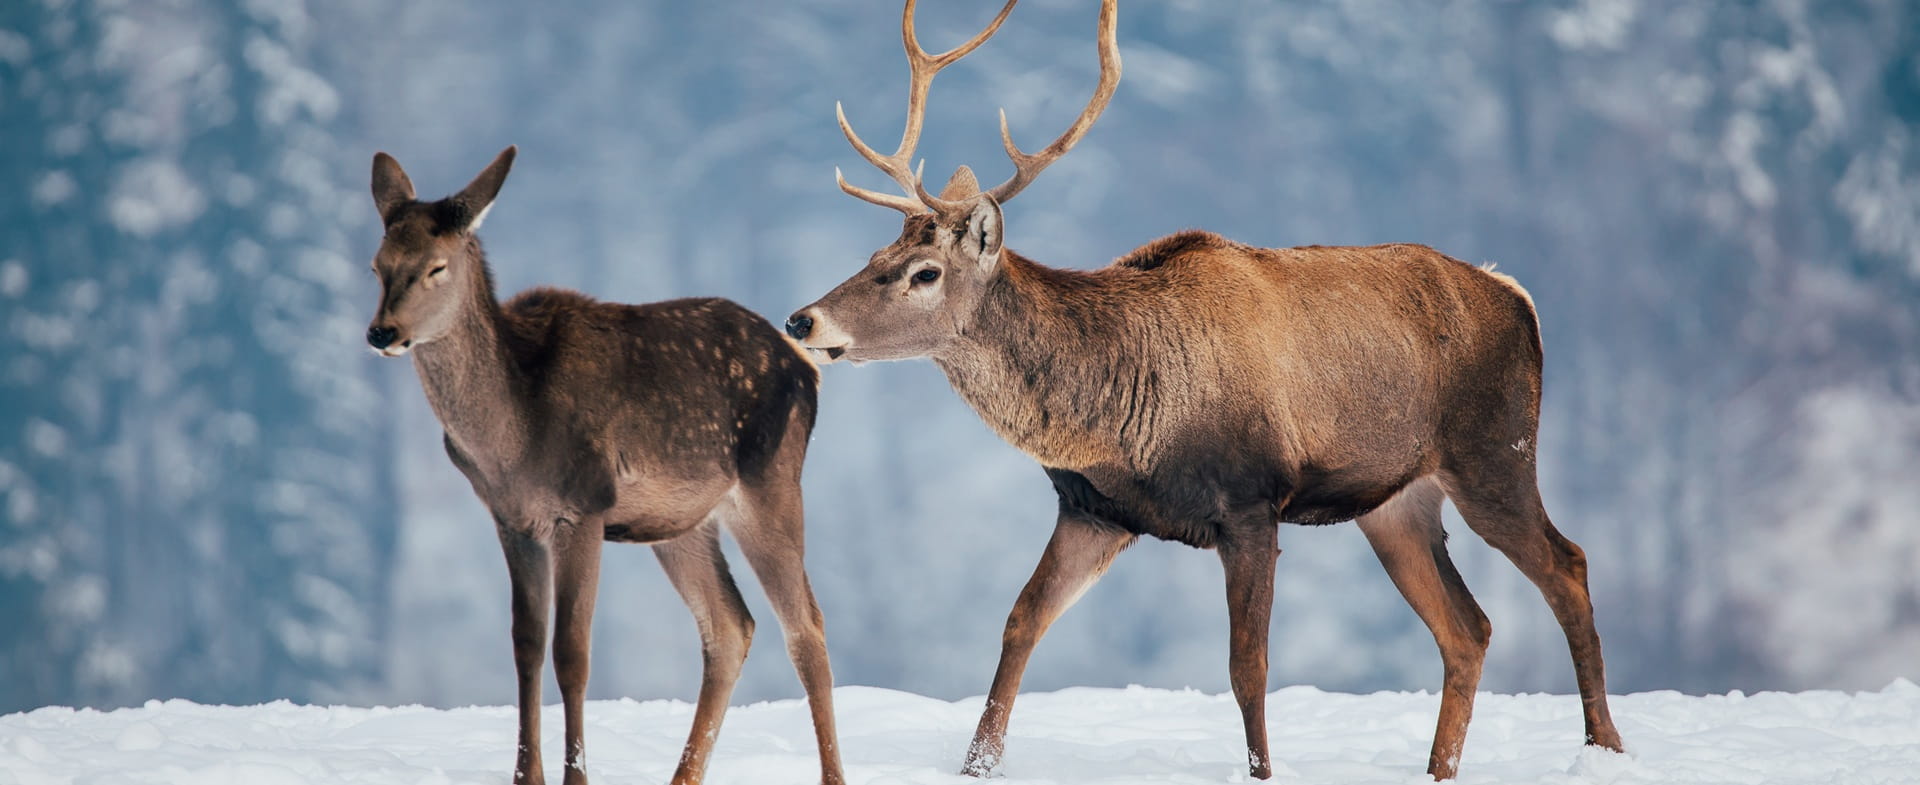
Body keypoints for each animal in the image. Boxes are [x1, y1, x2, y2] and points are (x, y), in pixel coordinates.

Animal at [363, 147, 845, 785]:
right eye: (377, 266)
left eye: (436, 267)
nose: (382, 332)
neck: (509, 438)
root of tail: (807, 367)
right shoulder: (511, 519)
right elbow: (525, 643)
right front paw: (527, 776)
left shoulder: (584, 505)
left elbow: (572, 651)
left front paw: (576, 776)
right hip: (681, 523)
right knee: (729, 626)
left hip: (771, 482)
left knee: (806, 628)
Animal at [783, 0, 1625, 780]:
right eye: (875, 254)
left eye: (924, 273)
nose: (802, 317)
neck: (1120, 417)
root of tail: (1516, 296)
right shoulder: (1094, 508)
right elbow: (1021, 622)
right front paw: (976, 762)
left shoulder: (1251, 499)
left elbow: (1246, 665)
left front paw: (1262, 768)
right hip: (1394, 500)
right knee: (1469, 627)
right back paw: (1442, 765)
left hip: (1495, 451)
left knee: (1569, 564)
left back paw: (1604, 745)